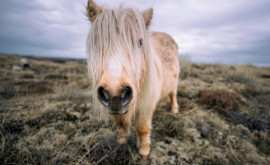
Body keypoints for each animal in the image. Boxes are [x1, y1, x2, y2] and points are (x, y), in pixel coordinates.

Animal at [85, 0, 180, 160]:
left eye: (140, 42)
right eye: (97, 43)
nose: (115, 92)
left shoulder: (147, 105)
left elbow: (142, 128)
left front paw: (144, 152)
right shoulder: (117, 109)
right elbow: (122, 126)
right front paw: (121, 144)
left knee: (173, 94)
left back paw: (174, 110)